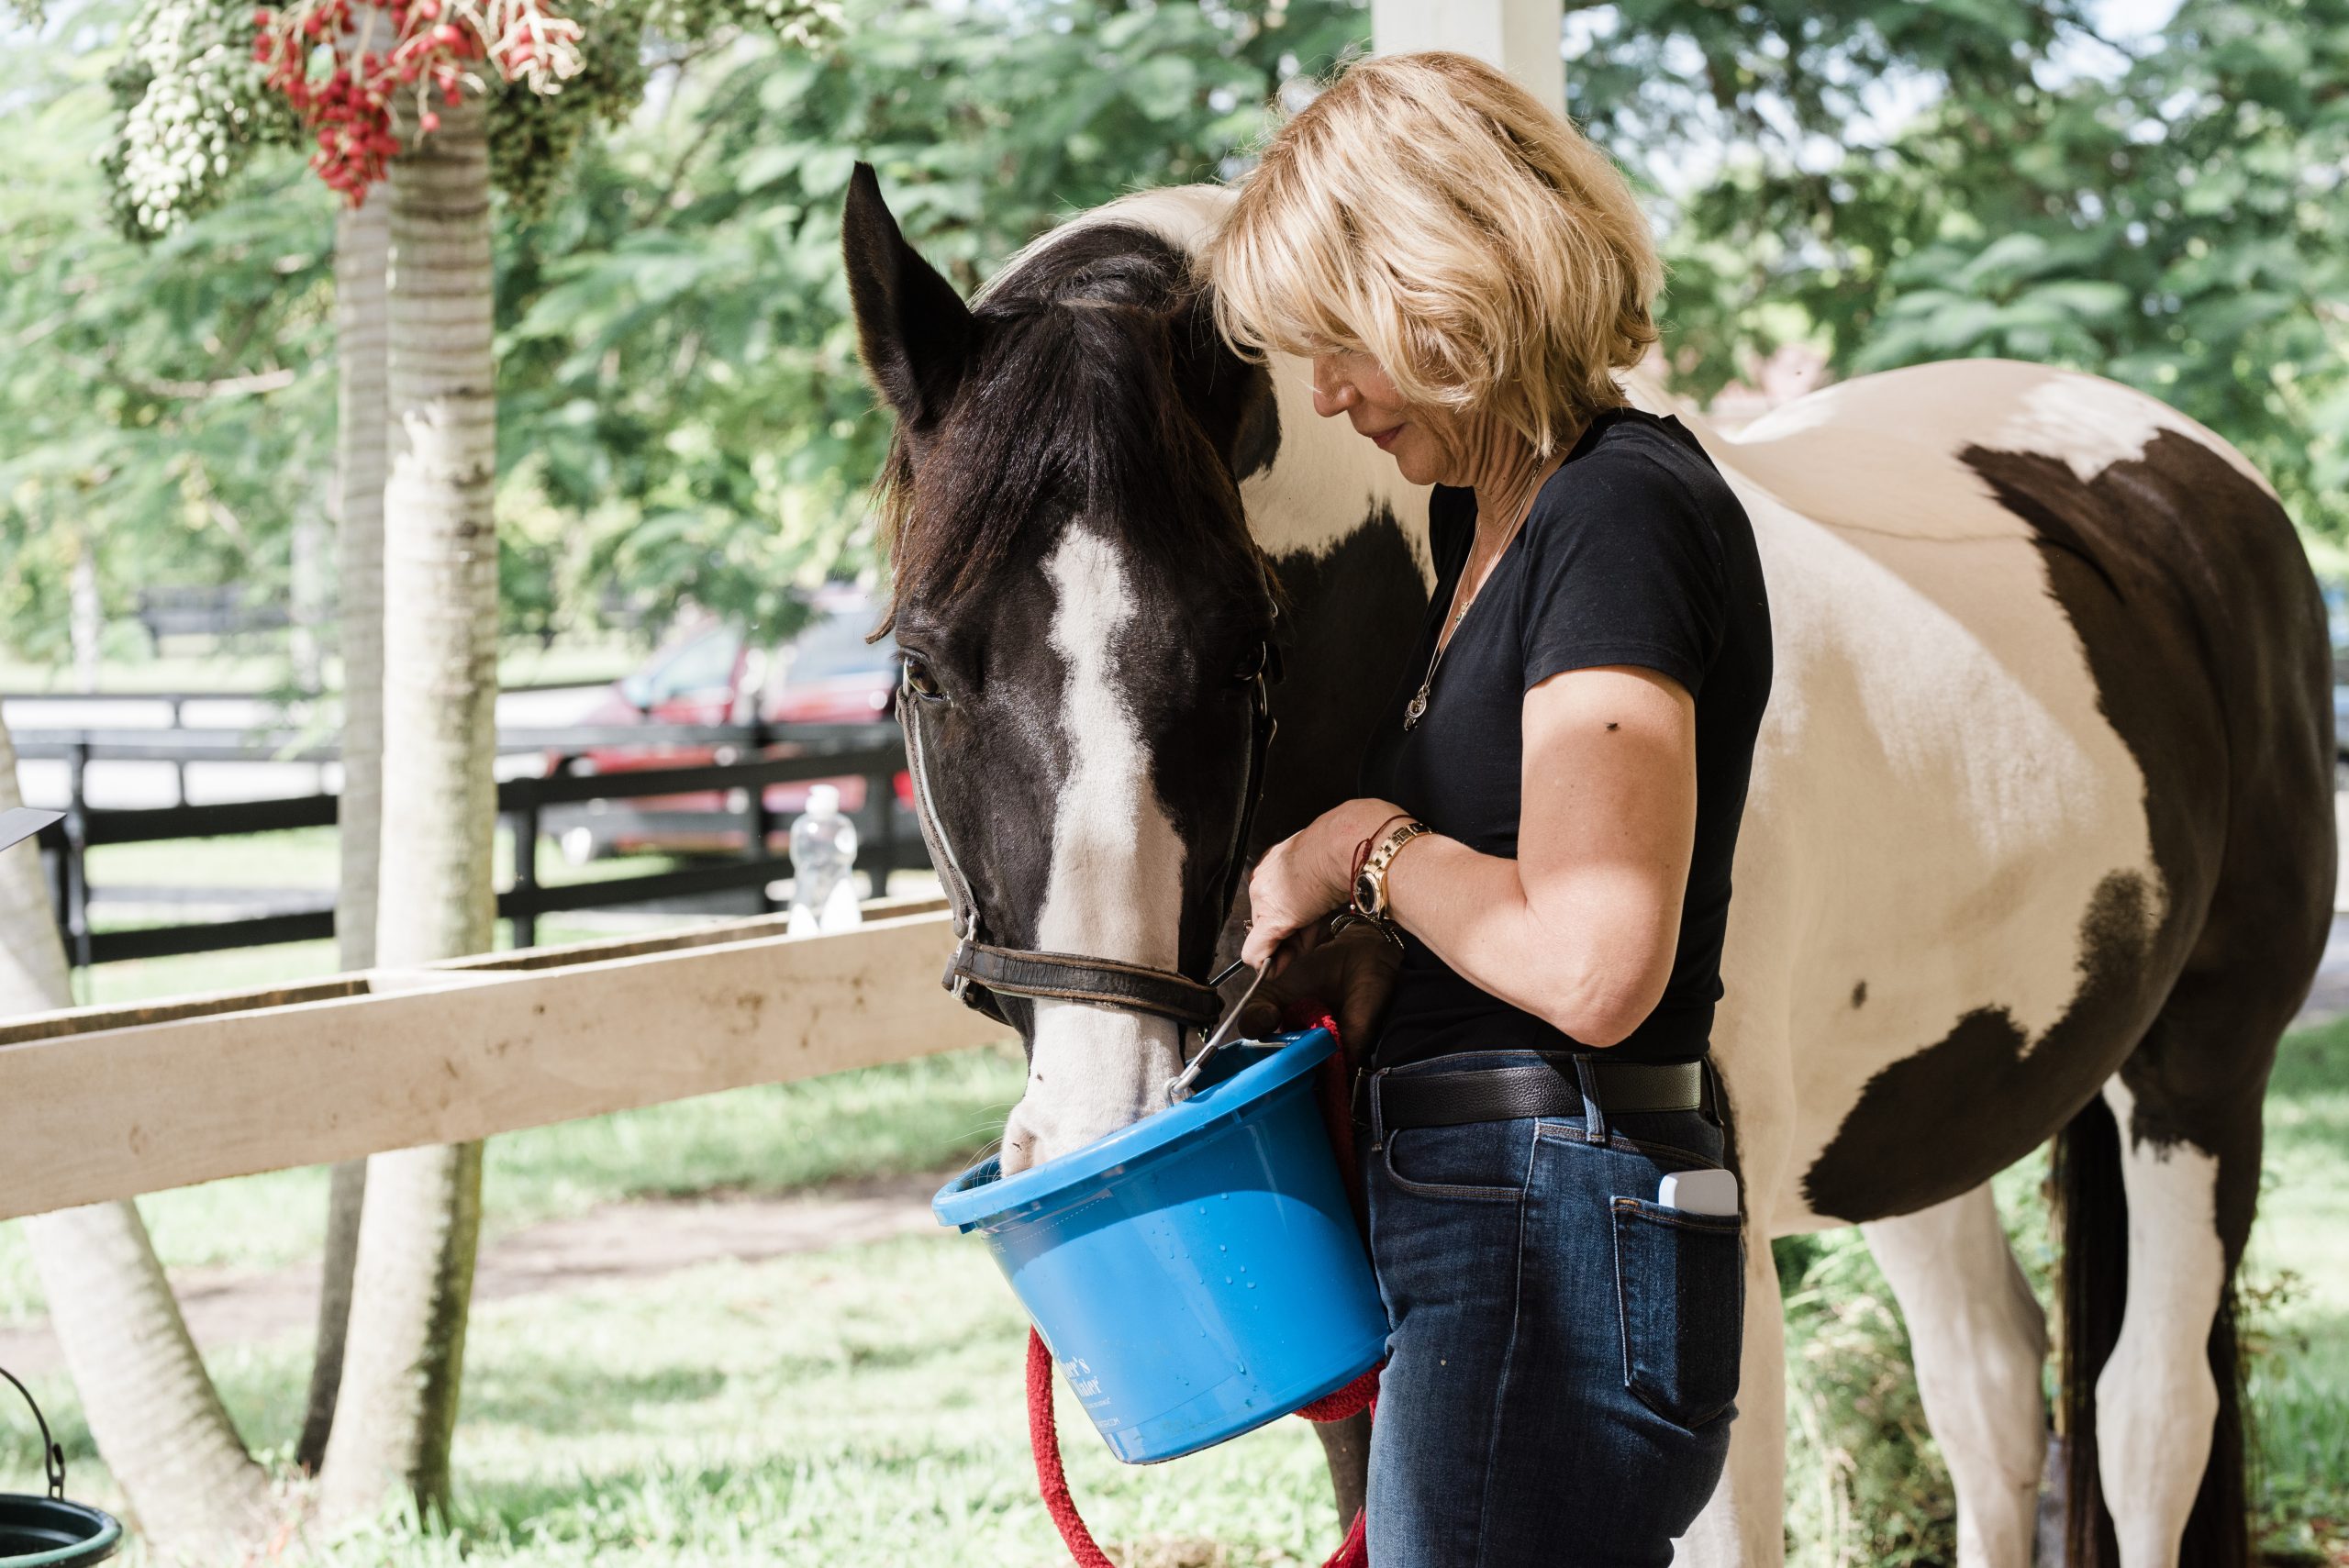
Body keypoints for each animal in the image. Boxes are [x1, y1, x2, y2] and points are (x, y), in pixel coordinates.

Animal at [841, 163, 2335, 1568]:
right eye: (923, 664)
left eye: (1242, 654)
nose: (1109, 1120)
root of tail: (2196, 476)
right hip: (1923, 1103)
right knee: (1989, 1390)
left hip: (2200, 1076)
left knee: (2148, 1418)